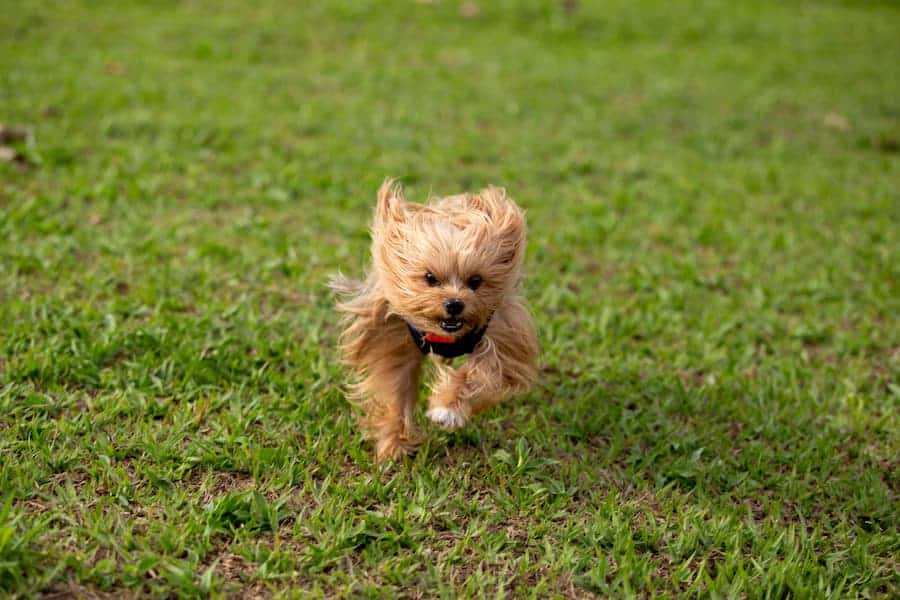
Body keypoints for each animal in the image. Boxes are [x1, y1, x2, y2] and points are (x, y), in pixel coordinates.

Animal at [332, 178, 536, 460]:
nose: (454, 304)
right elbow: (395, 388)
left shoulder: (502, 333)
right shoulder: (393, 336)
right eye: (430, 278)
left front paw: (448, 409)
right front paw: (393, 445)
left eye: (476, 281)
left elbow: (482, 372)